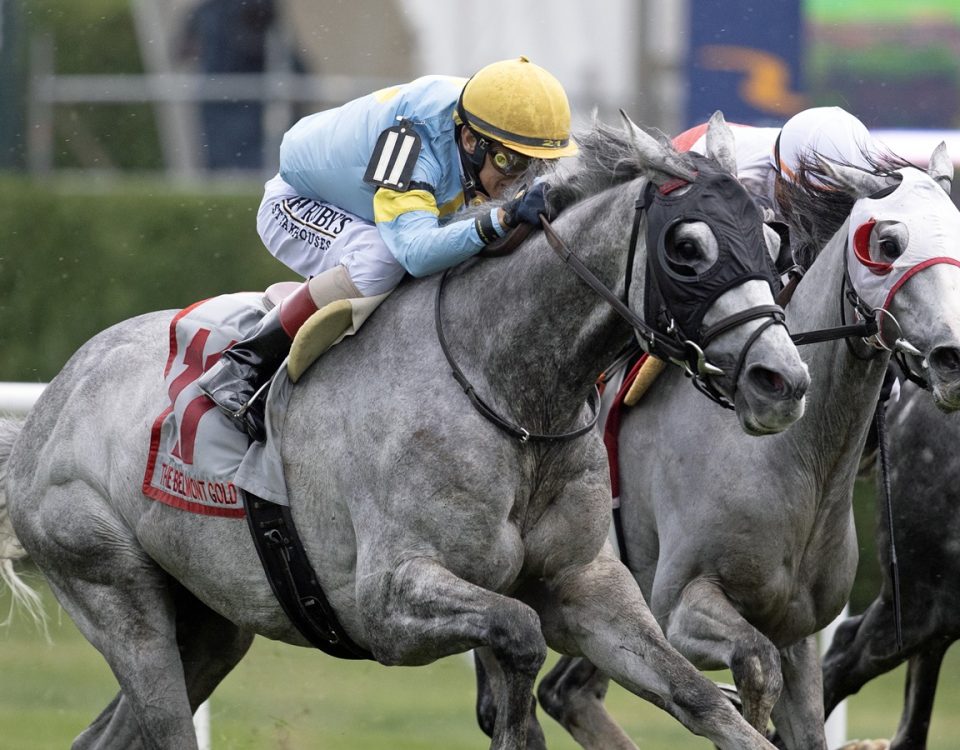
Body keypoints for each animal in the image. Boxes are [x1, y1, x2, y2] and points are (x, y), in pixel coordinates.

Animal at [0, 113, 808, 750]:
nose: (783, 381)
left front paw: (751, 710)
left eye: (772, 240)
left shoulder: (586, 586)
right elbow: (518, 634)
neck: (510, 393)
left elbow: (698, 697)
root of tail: (55, 398)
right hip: (116, 592)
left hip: (209, 620)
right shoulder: (387, 602)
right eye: (687, 247)